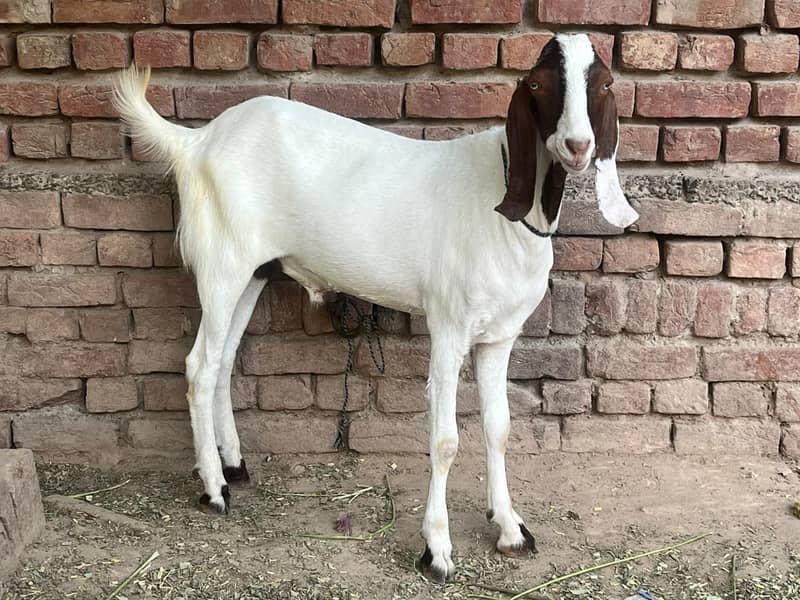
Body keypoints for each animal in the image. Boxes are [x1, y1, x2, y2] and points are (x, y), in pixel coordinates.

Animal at [114, 33, 637, 582]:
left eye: (604, 84)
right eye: (536, 84)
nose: (578, 146)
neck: (504, 202)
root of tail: (196, 143)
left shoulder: (500, 335)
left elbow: (499, 428)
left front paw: (511, 530)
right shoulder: (449, 325)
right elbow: (446, 440)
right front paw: (437, 549)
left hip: (254, 272)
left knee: (223, 361)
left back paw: (234, 465)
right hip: (221, 264)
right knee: (200, 365)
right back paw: (214, 490)